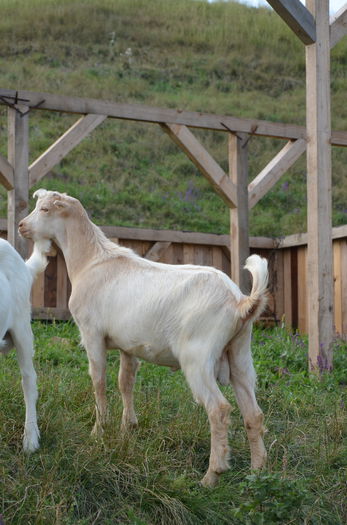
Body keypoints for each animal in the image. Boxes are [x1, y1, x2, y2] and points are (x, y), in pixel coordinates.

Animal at [19, 189, 270, 488]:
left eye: (45, 209)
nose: (21, 226)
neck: (91, 261)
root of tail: (240, 302)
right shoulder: (128, 345)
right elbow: (125, 382)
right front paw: (127, 429)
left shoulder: (92, 334)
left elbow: (99, 381)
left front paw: (99, 431)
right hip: (240, 353)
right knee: (253, 413)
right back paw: (257, 472)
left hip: (197, 358)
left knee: (218, 409)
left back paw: (211, 475)